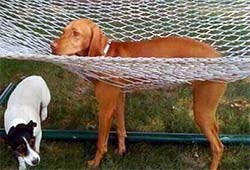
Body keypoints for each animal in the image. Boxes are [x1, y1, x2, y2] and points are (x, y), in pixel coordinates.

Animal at [50, 17, 227, 169]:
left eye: (76, 33)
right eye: (63, 31)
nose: (52, 45)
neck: (105, 55)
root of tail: (218, 55)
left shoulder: (105, 109)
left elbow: (101, 142)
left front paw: (95, 163)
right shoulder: (119, 99)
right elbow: (121, 128)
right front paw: (121, 150)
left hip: (201, 110)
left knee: (218, 147)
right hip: (207, 109)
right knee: (216, 131)